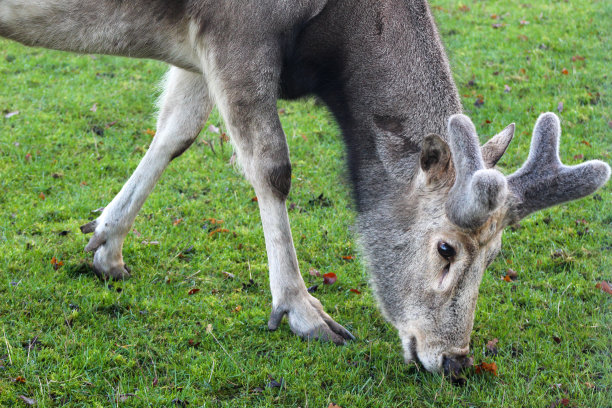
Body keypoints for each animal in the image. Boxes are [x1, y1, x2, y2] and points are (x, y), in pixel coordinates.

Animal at [2, 0, 608, 378]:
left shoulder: (198, 47)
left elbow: (177, 130)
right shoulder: (236, 33)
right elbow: (271, 167)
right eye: (445, 248)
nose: (455, 362)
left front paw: (106, 244)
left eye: (496, 255)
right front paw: (303, 311)